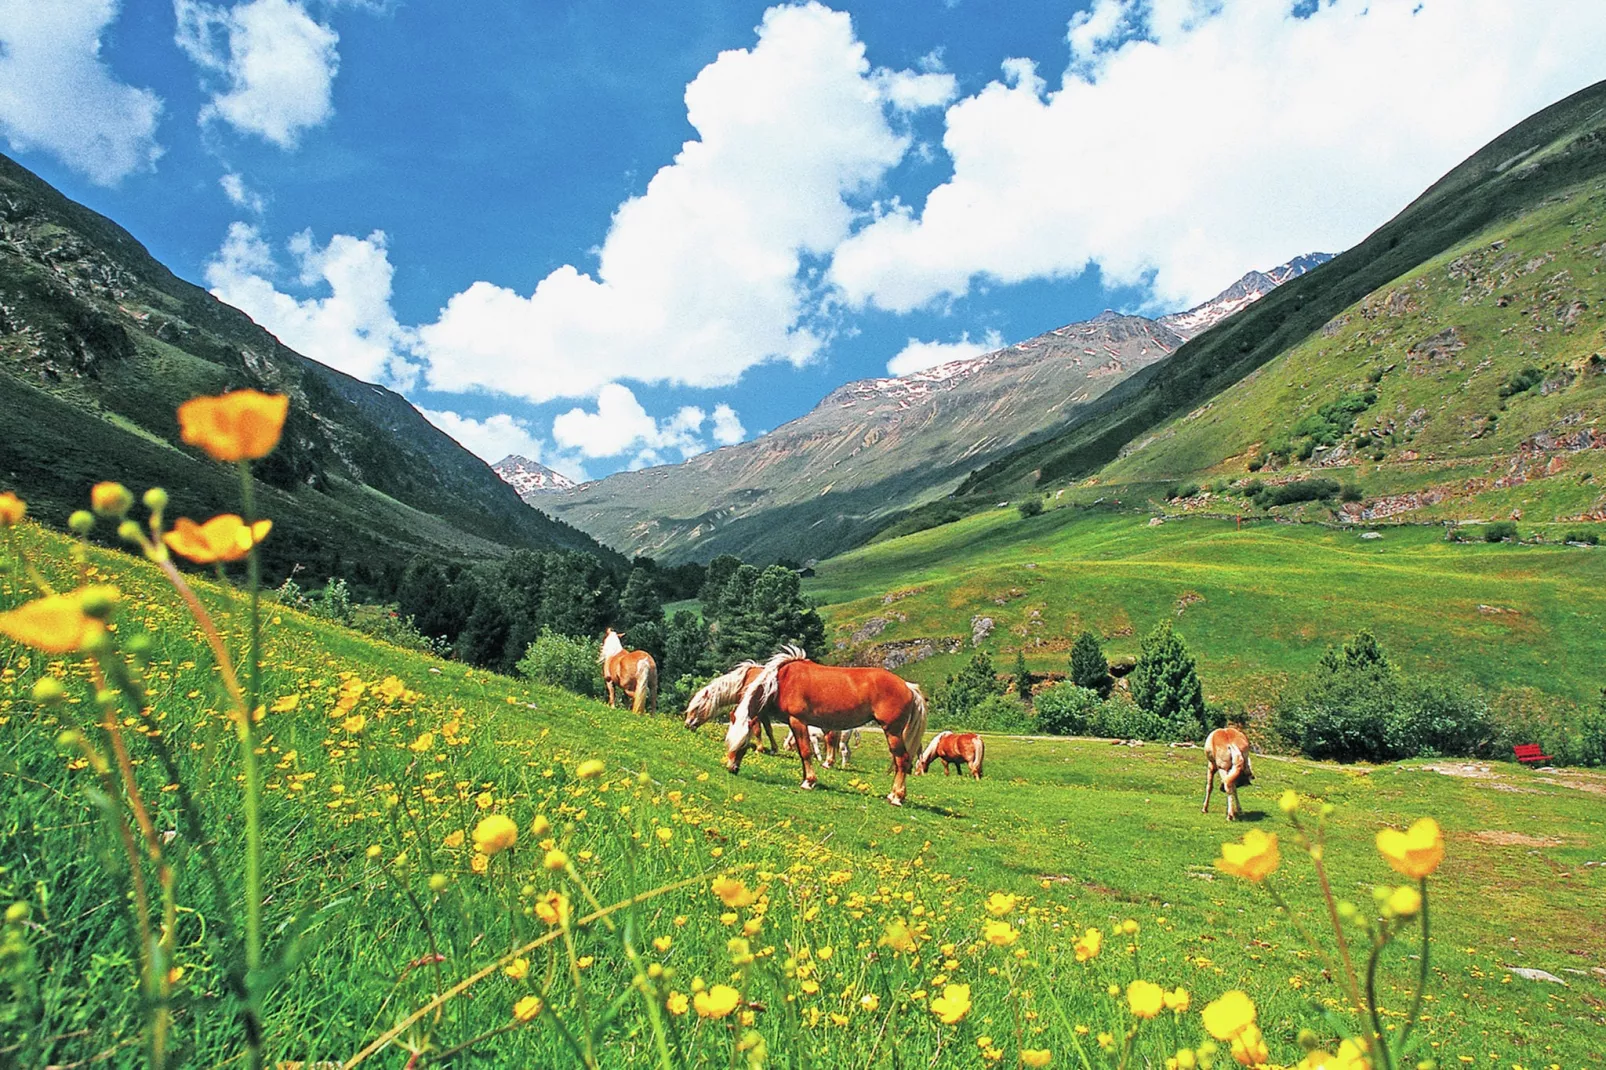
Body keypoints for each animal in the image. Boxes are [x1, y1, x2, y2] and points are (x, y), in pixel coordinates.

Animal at [722, 645, 925, 803]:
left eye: (743, 743)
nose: (731, 768)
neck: (782, 680)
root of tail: (908, 686)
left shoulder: (798, 721)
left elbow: (806, 752)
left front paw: (809, 781)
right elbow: (802, 752)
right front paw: (806, 778)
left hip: (892, 731)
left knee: (902, 760)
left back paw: (897, 797)